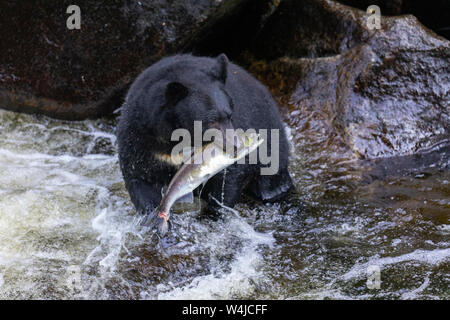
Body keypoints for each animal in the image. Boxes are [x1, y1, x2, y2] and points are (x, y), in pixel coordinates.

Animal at [117, 53, 292, 221]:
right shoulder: (140, 138)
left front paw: (212, 215)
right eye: (211, 121)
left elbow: (228, 178)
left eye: (229, 115)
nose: (236, 146)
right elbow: (140, 177)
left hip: (272, 149)